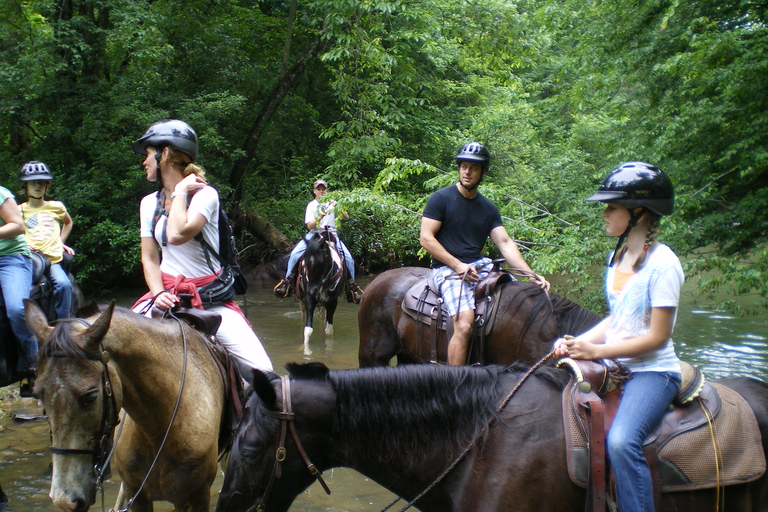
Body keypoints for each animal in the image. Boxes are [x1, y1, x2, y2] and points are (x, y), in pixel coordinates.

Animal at [296, 230, 344, 358]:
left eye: (321, 263)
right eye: (305, 262)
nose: (313, 290)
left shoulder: (332, 302)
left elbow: (329, 331)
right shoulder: (309, 299)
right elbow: (307, 330)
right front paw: (305, 350)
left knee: (322, 317)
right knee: (303, 315)